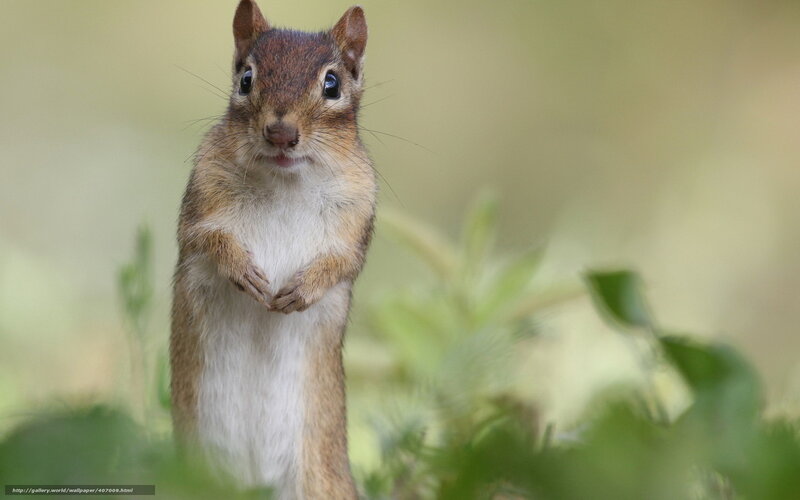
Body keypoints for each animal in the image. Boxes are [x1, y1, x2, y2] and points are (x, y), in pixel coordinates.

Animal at [170, 1, 376, 498]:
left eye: (332, 84)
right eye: (246, 78)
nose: (281, 133)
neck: (286, 182)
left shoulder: (358, 216)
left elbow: (344, 263)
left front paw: (302, 290)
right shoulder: (200, 202)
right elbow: (205, 239)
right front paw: (242, 270)